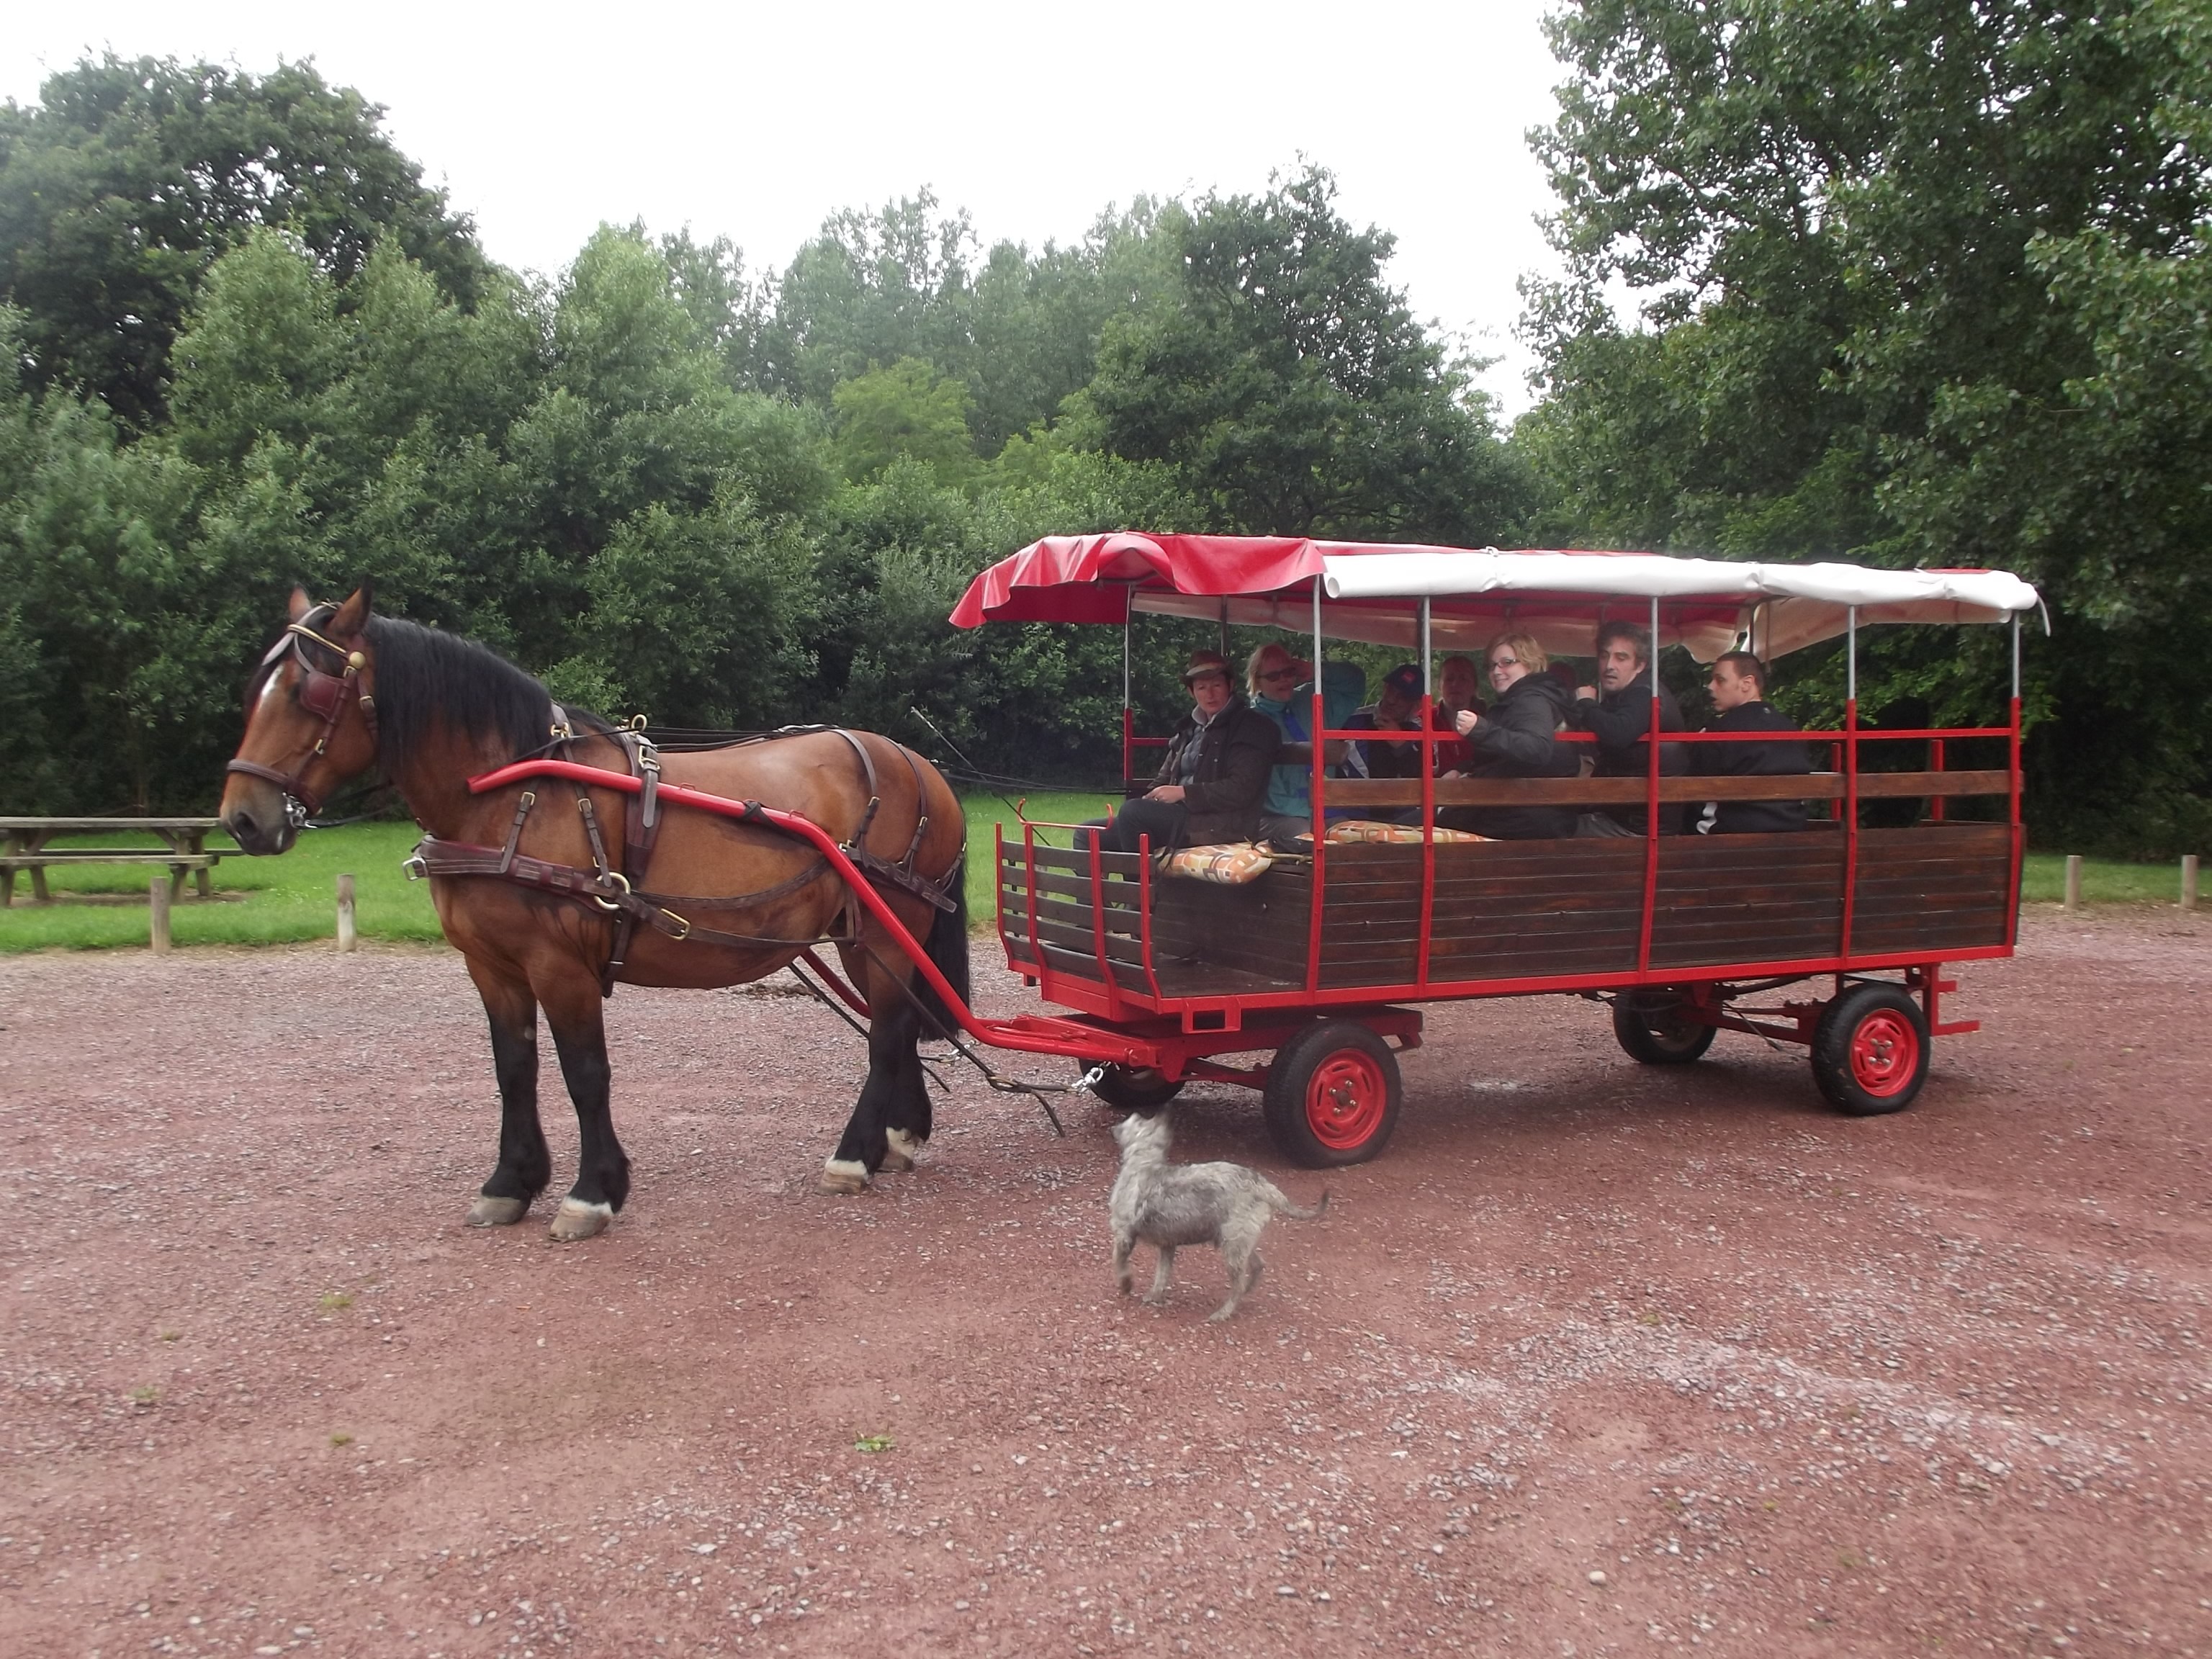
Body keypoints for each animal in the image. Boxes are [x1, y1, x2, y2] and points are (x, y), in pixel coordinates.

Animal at [220, 593, 973, 1238]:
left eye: (308, 695)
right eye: (253, 692)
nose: (242, 821)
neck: (511, 796)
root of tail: (918, 762)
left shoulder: (560, 965)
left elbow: (585, 1073)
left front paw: (592, 1194)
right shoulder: (491, 966)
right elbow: (513, 1070)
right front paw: (511, 1183)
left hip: (887, 925)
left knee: (887, 1032)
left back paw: (853, 1154)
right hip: (863, 935)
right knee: (898, 1023)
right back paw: (896, 1137)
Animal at [1106, 1110, 1327, 1336]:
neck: (1144, 1160)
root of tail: (1264, 1186)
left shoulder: (1123, 1235)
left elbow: (1119, 1262)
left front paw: (1125, 1284)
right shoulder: (1168, 1246)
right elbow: (1162, 1274)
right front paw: (1154, 1295)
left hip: (1233, 1248)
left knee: (1238, 1285)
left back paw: (1224, 1312)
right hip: (1238, 1241)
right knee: (1257, 1267)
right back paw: (1246, 1291)